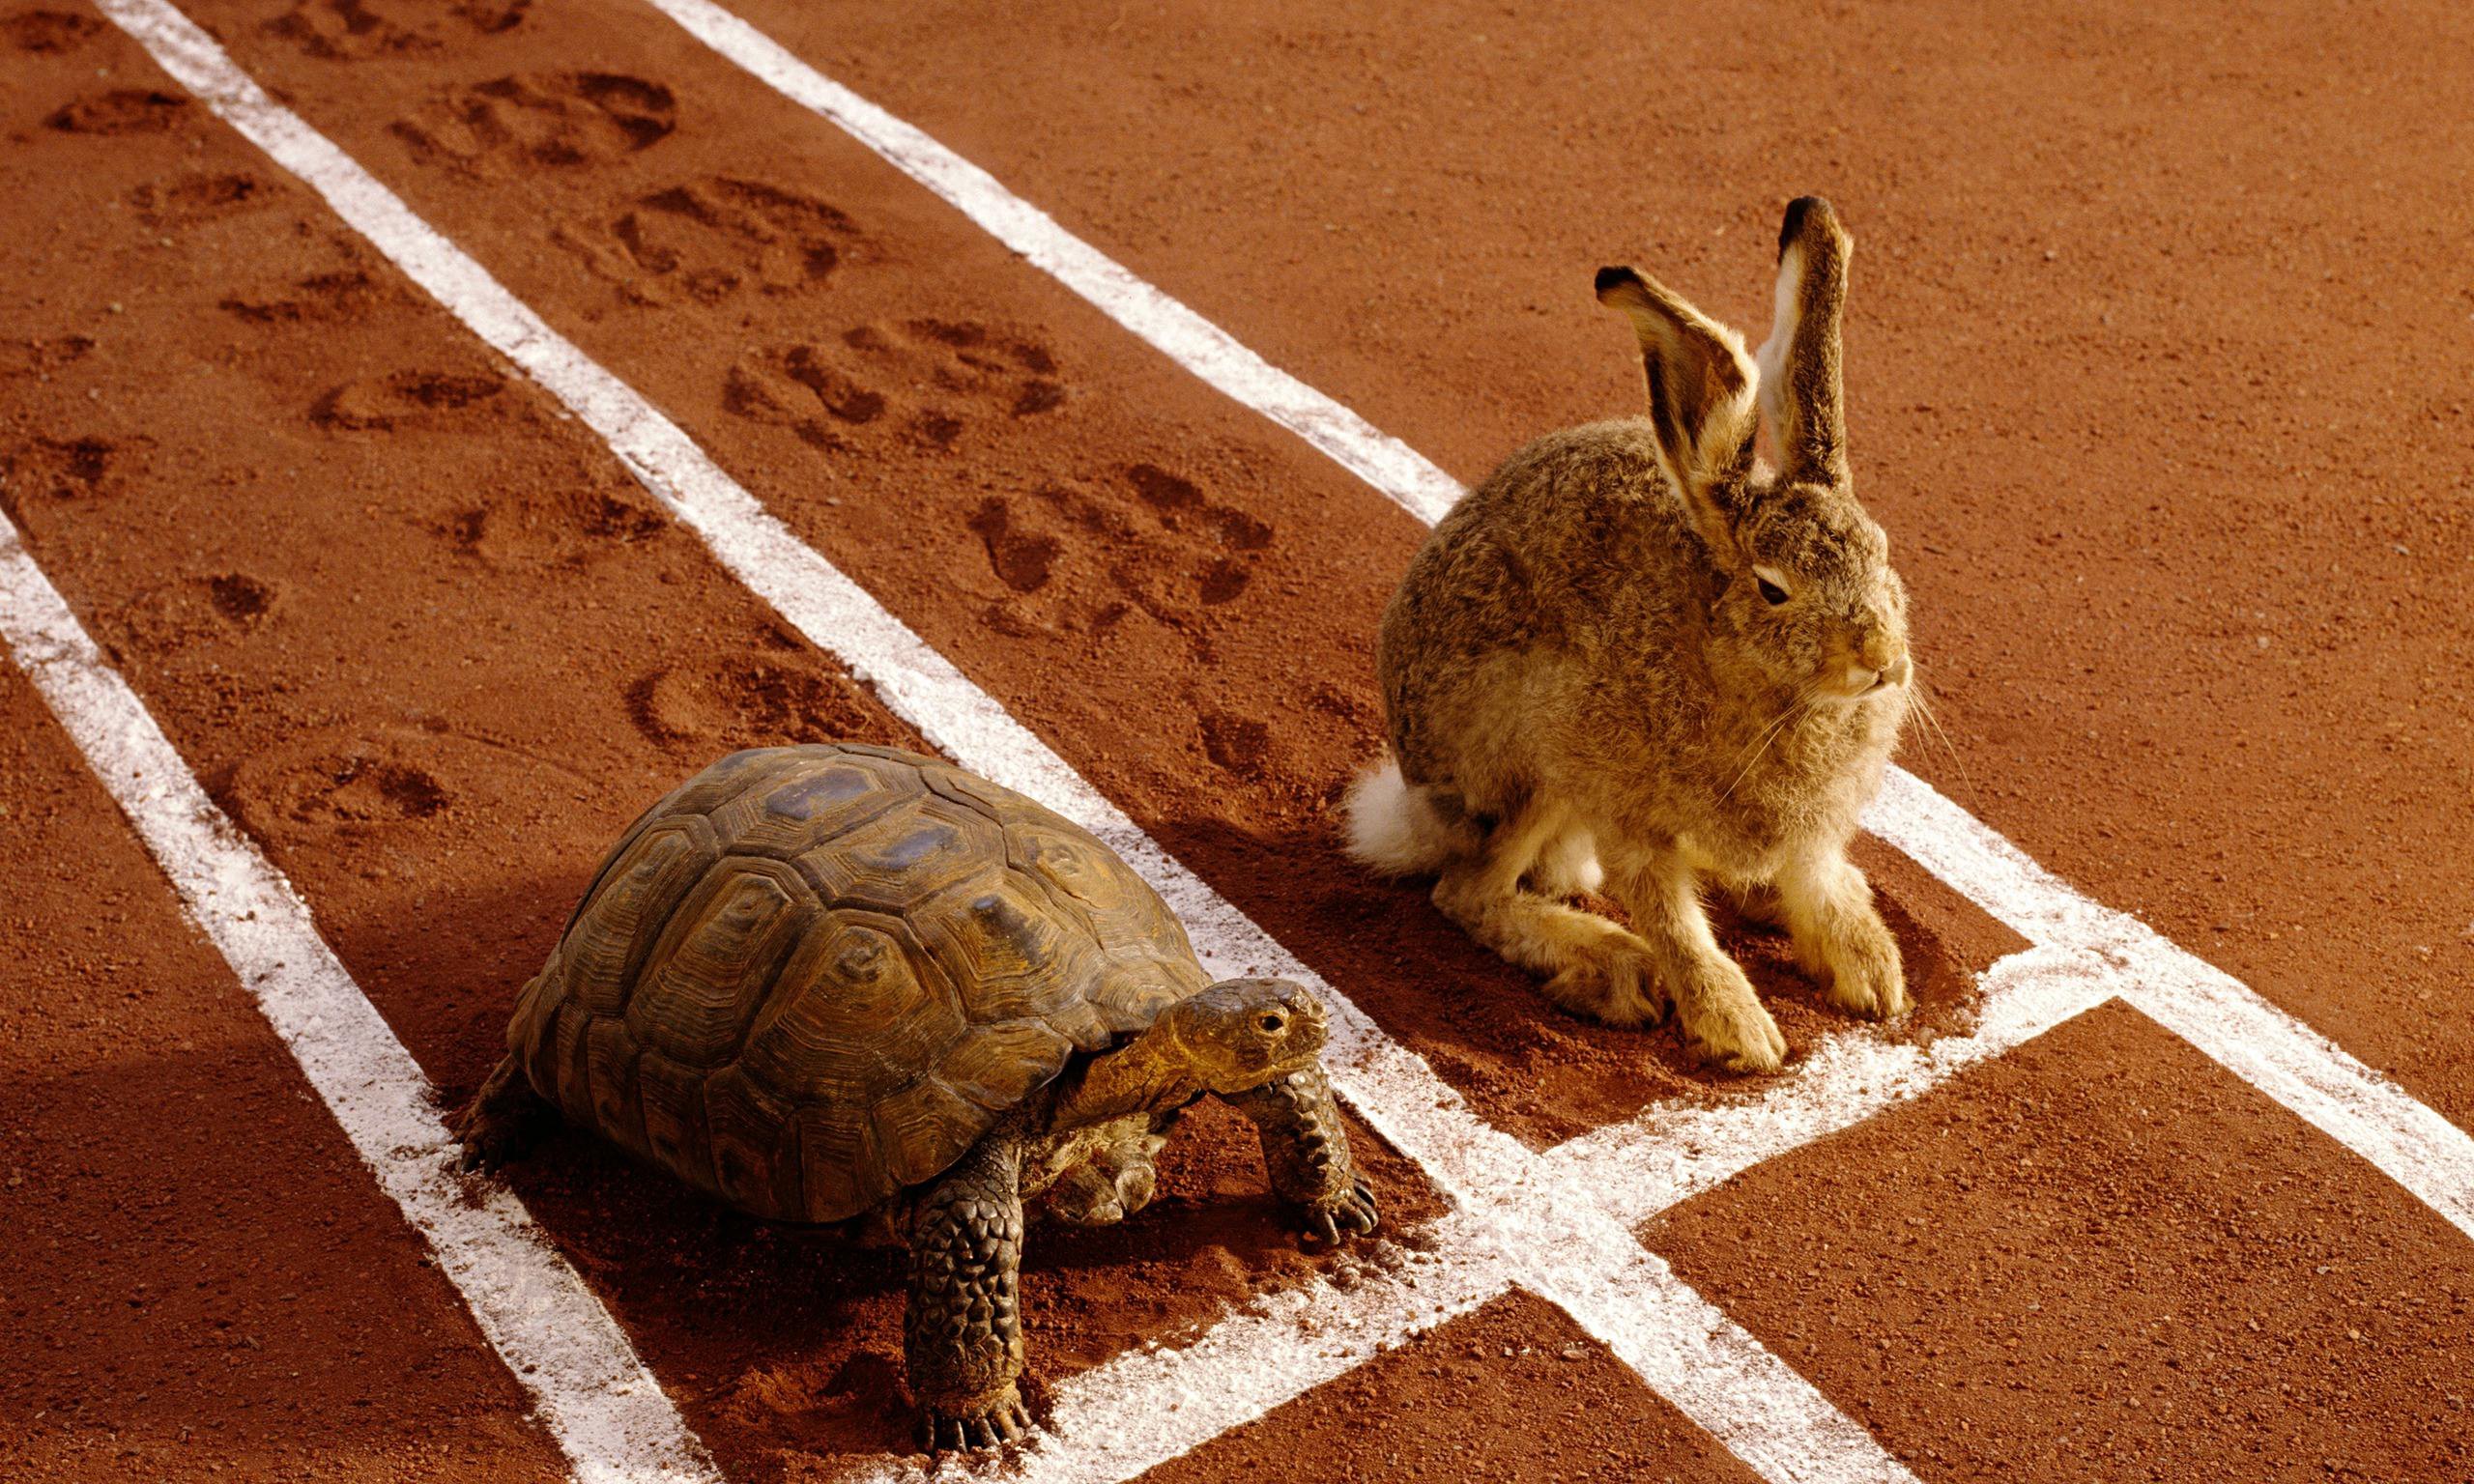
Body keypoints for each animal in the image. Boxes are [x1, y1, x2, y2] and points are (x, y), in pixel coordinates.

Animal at [1344, 196, 1911, 1074]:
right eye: (1773, 588)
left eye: (1882, 553)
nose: (1882, 663)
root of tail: (1414, 802)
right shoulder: (1626, 810)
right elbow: (1674, 924)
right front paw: (1739, 1032)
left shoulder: (1813, 833)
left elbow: (1816, 881)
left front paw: (1874, 976)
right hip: (1527, 758)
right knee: (1469, 891)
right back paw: (1610, 965)